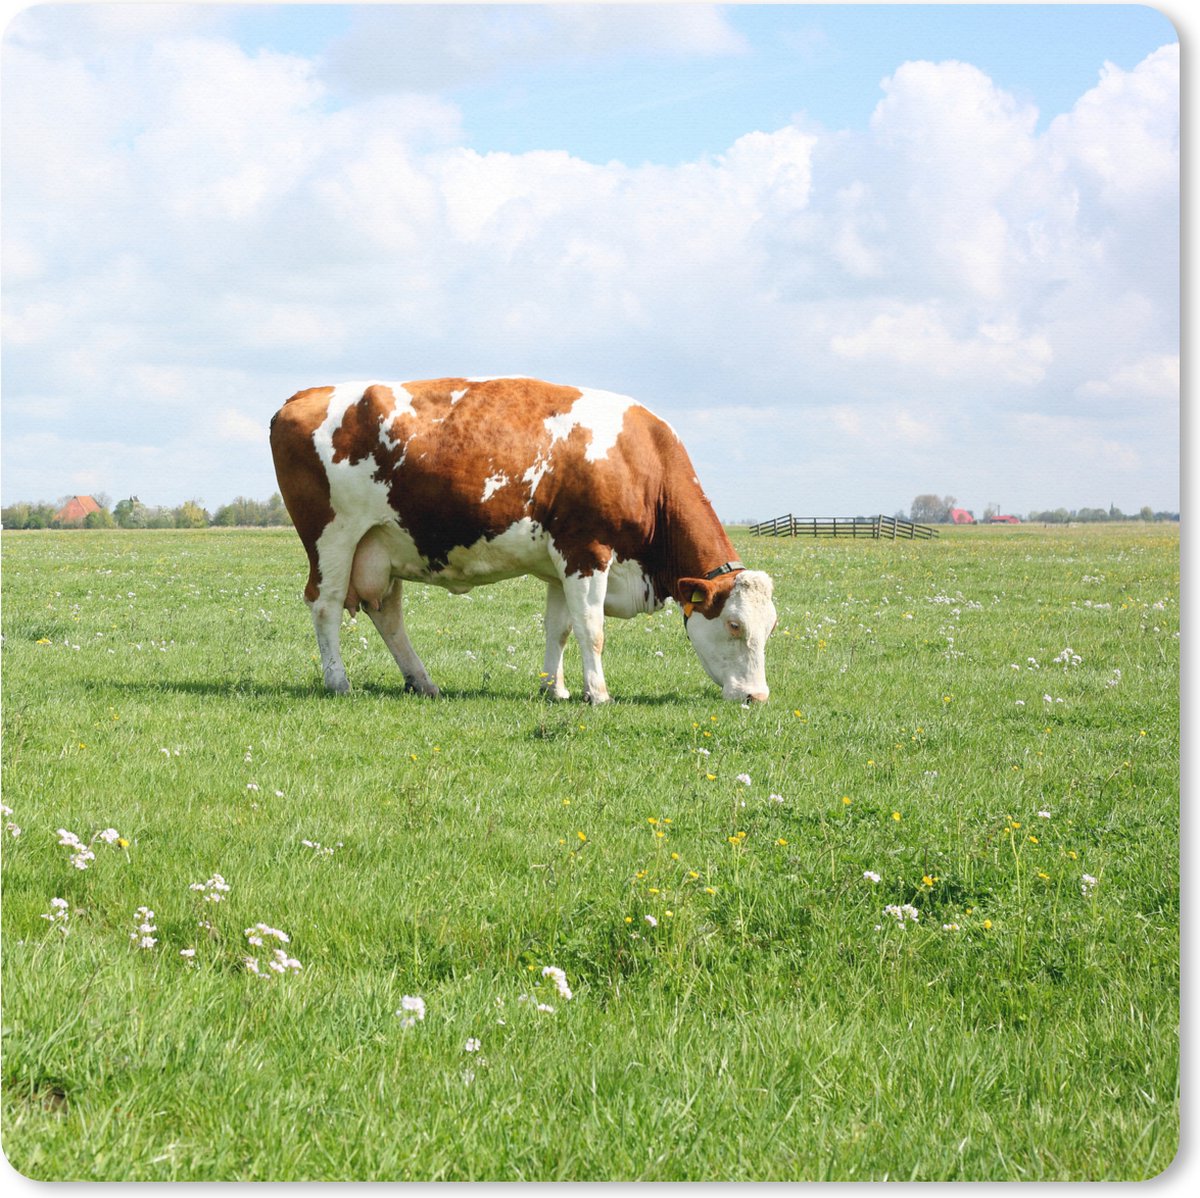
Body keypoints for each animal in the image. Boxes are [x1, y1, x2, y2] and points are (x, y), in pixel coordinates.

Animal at [269, 377, 776, 704]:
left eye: (770, 627)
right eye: (735, 625)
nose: (757, 696)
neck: (640, 462)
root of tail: (301, 396)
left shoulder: (561, 565)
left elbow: (560, 628)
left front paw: (555, 688)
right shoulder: (586, 551)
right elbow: (591, 629)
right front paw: (599, 694)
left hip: (382, 545)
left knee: (388, 614)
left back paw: (422, 681)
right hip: (333, 538)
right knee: (326, 604)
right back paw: (339, 682)